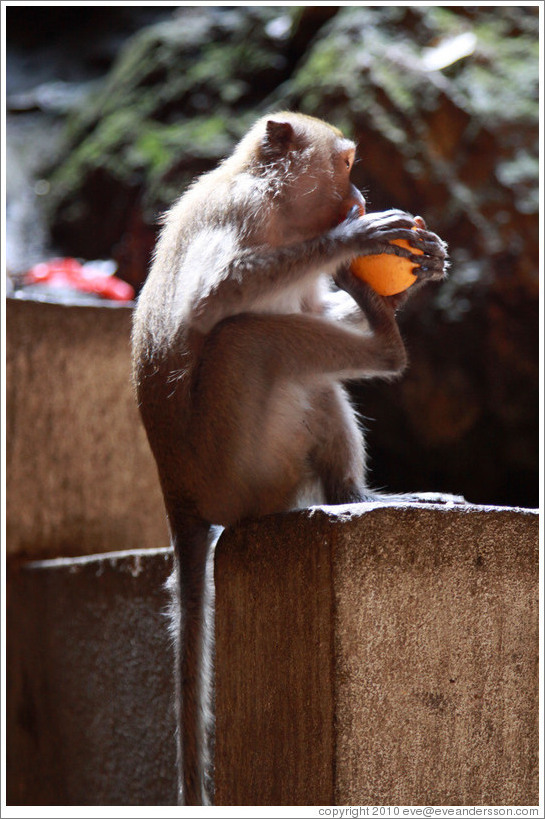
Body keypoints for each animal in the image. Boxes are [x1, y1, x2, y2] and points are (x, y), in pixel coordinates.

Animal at [131, 110, 446, 808]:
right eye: (348, 164)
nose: (358, 196)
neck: (277, 207)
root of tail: (177, 494)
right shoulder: (242, 212)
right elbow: (213, 300)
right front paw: (352, 239)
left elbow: (309, 308)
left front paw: (400, 279)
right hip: (237, 466)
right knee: (246, 337)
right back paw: (386, 350)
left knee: (303, 370)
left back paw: (355, 493)